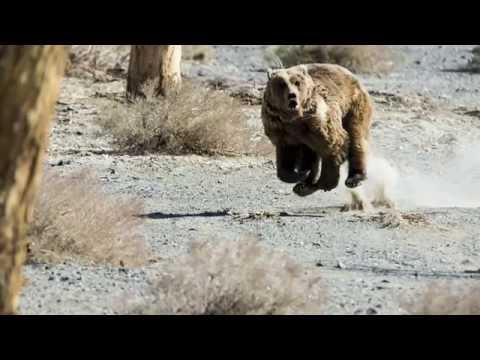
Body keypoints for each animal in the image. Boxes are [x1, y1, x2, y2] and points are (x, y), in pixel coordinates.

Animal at [260, 63, 374, 195]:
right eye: (282, 84)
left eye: (297, 82)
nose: (292, 95)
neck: (294, 119)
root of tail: (351, 74)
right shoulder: (280, 129)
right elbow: (286, 156)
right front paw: (299, 175)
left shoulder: (318, 121)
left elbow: (333, 145)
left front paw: (325, 183)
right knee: (310, 153)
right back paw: (304, 183)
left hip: (353, 106)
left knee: (356, 137)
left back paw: (354, 178)